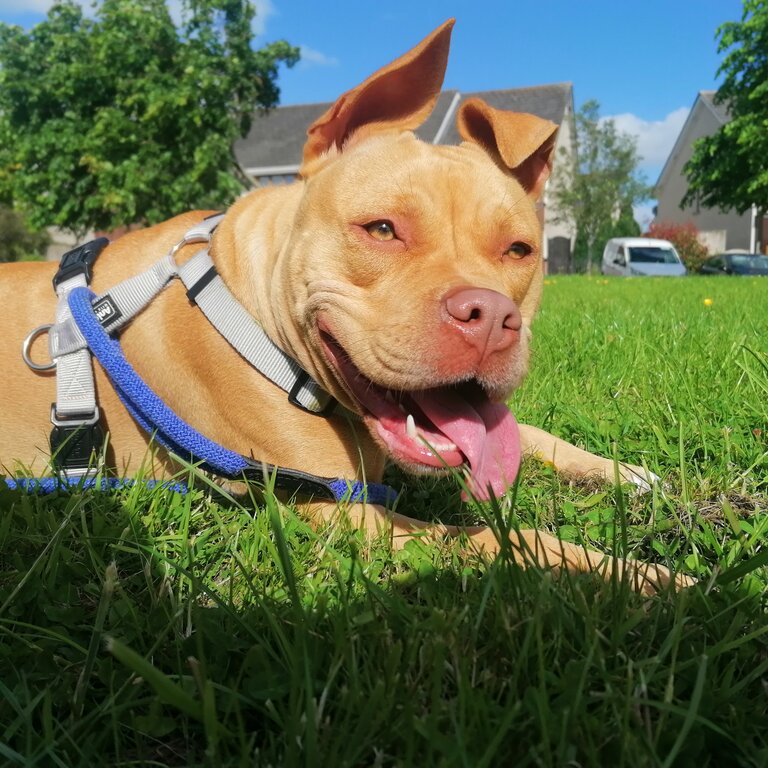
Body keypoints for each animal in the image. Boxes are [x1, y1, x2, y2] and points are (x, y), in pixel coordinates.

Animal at [0, 19, 688, 592]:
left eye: (519, 249)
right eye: (382, 229)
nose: (491, 318)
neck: (250, 311)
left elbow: (529, 432)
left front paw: (621, 473)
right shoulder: (347, 512)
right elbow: (505, 537)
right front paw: (651, 580)